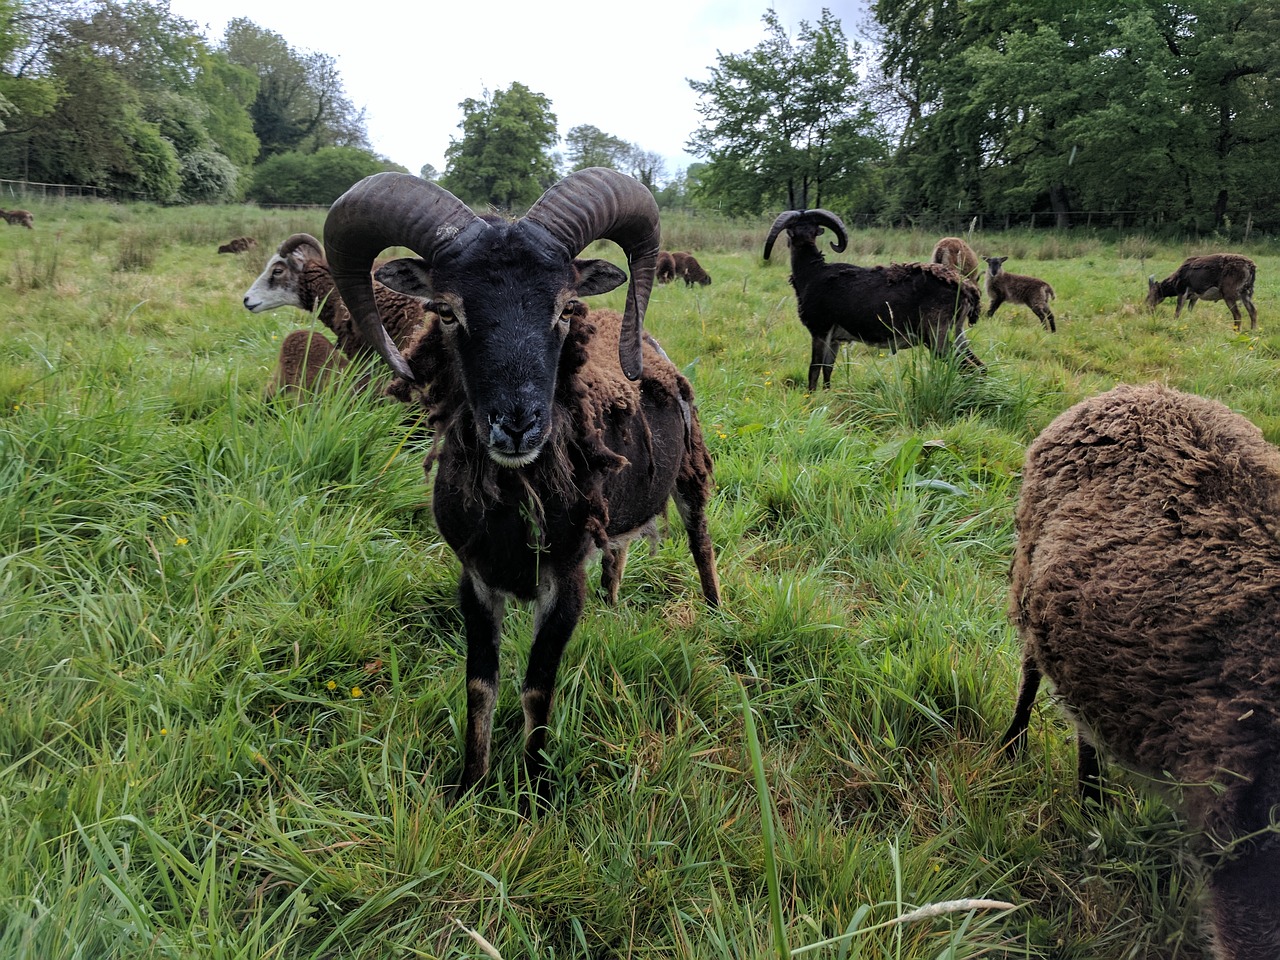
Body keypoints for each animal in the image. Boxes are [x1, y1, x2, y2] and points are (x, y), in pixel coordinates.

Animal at [762, 207, 983, 391]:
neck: (812, 272)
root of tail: (965, 288)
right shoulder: (834, 338)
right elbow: (827, 369)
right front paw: (826, 395)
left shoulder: (820, 330)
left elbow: (814, 369)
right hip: (957, 332)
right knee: (979, 367)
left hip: (937, 335)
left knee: (967, 366)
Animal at [1003, 381, 1280, 960]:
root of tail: (1141, 389)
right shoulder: (1244, 843)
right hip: (1026, 573)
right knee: (1031, 673)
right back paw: (1019, 752)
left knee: (1082, 716)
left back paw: (1092, 799)